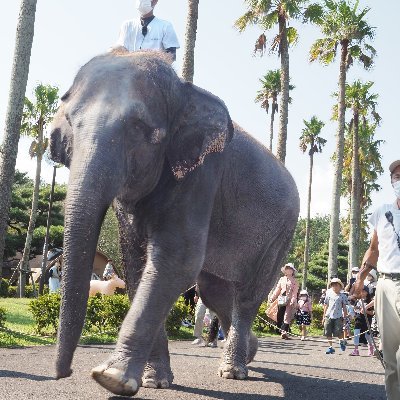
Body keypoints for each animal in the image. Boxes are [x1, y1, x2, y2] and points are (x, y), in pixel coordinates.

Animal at [50, 48, 298, 398]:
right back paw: (250, 351)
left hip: (281, 234)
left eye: (139, 128)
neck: (182, 89)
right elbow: (137, 264)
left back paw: (234, 370)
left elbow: (177, 259)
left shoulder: (203, 174)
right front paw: (154, 381)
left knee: (249, 295)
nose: (64, 372)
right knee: (214, 292)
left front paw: (112, 377)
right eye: (70, 121)